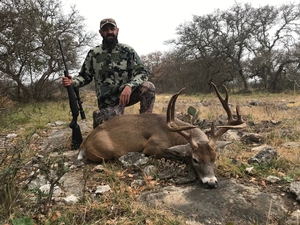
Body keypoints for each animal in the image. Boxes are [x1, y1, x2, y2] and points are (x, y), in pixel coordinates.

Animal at [77, 82, 246, 188]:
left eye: (215, 158)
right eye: (195, 159)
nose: (211, 183)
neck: (173, 134)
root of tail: (84, 143)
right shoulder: (152, 146)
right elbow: (173, 155)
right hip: (105, 151)